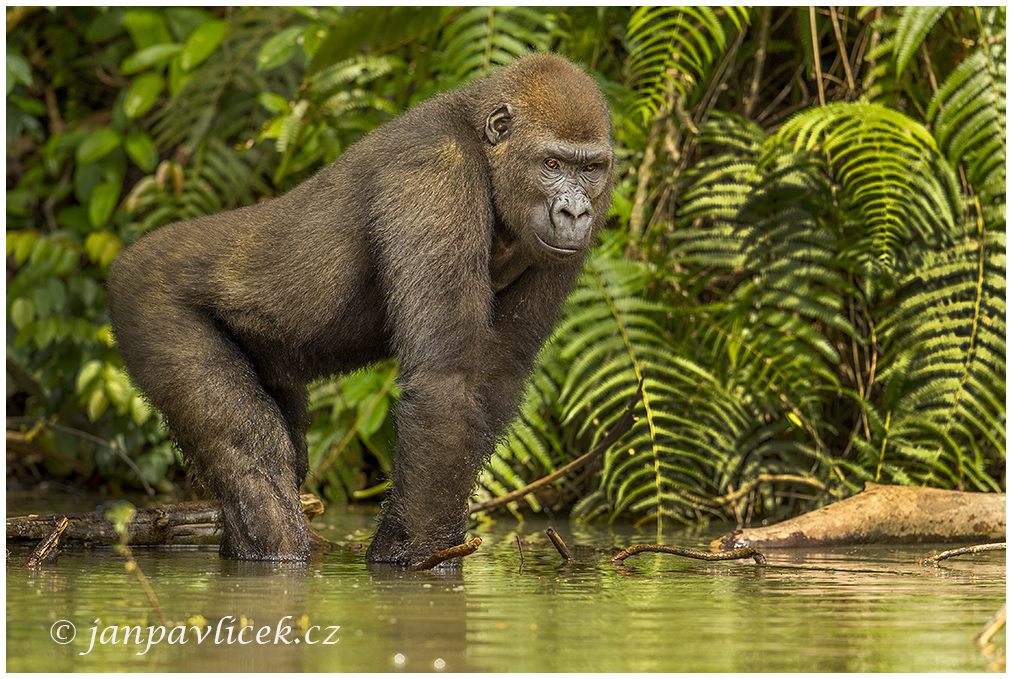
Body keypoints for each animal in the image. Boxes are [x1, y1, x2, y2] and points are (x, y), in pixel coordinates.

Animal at [110, 53, 615, 566]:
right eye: (551, 163)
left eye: (591, 168)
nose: (576, 213)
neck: (481, 143)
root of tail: (125, 260)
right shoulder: (436, 174)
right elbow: (446, 387)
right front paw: (420, 554)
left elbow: (497, 377)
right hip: (145, 299)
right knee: (251, 451)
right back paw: (279, 553)